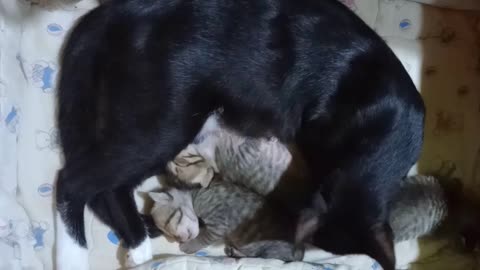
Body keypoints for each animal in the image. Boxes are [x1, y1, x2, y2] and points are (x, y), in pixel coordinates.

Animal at [55, 1, 424, 268]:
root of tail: (115, 11)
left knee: (108, 190)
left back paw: (139, 239)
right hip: (165, 123)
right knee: (73, 183)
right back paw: (79, 255)